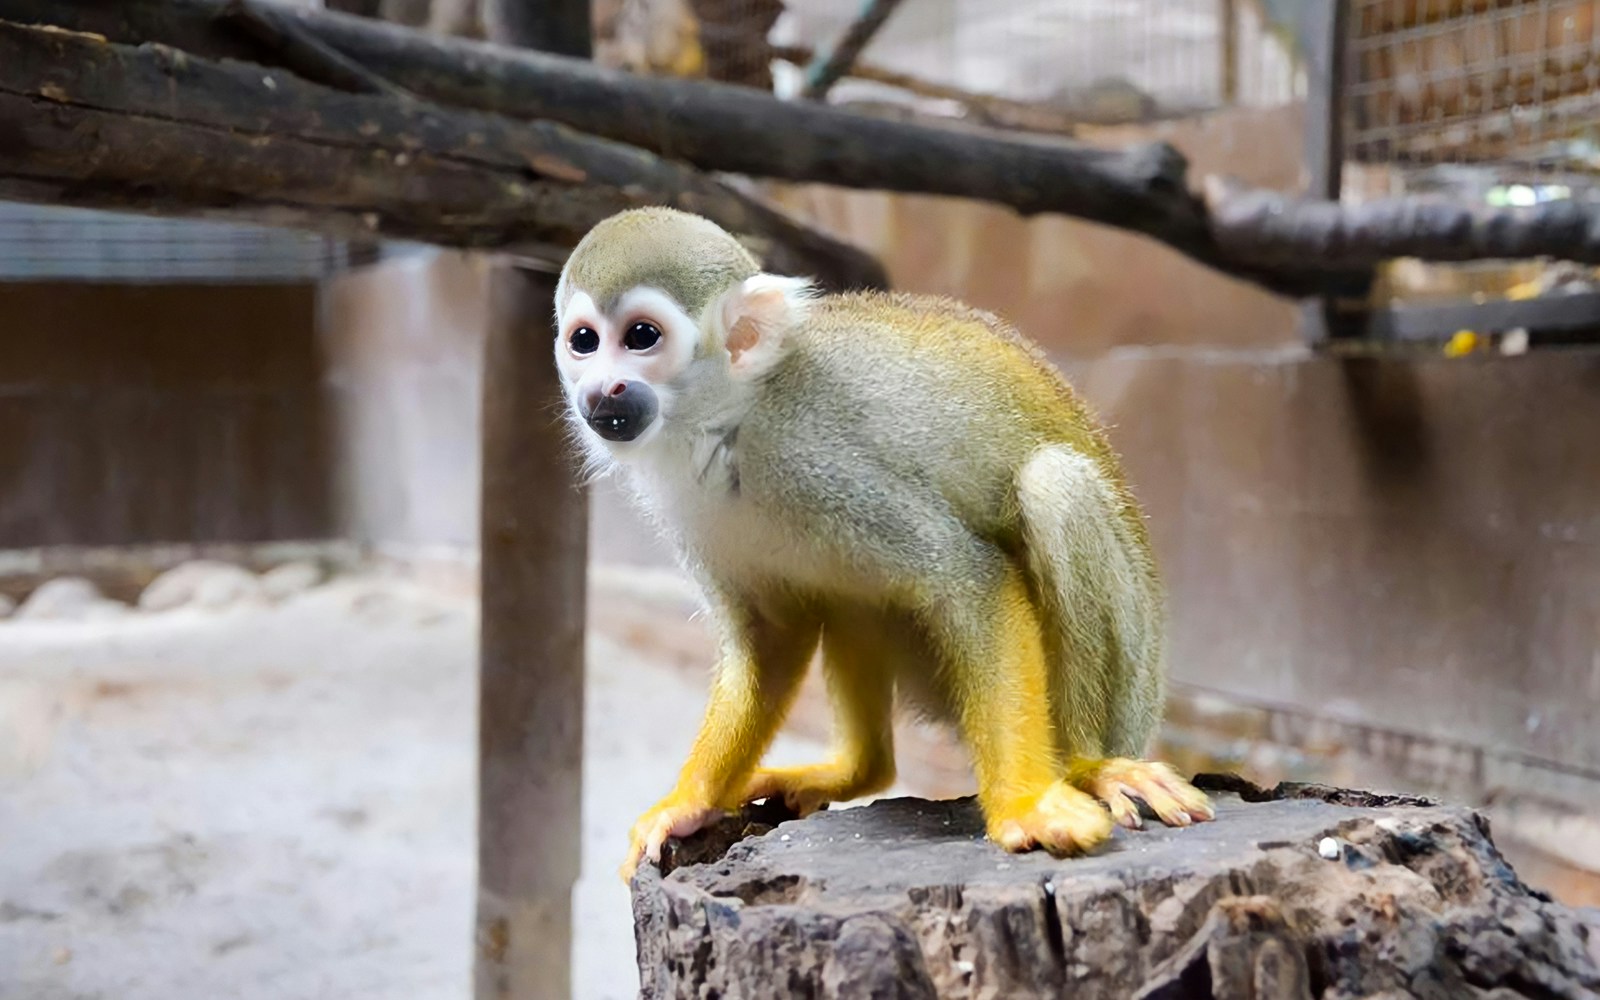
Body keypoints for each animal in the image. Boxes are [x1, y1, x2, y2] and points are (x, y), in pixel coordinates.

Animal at [552, 207, 1214, 882]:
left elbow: (968, 579)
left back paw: (1088, 765)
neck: (730, 423)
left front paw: (1028, 806)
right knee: (850, 590)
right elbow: (770, 641)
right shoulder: (689, 510)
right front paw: (686, 805)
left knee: (1055, 484)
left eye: (641, 336)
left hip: (1131, 677)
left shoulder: (821, 461)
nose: (603, 389)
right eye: (584, 341)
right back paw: (860, 770)